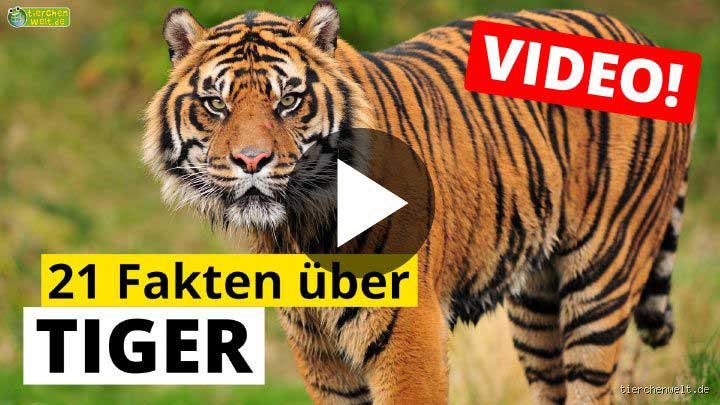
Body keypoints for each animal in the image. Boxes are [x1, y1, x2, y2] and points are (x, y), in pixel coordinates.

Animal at [143, 1, 693, 404]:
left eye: (289, 101)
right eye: (217, 104)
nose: (251, 160)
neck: (297, 230)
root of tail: (640, 34)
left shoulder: (409, 343)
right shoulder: (319, 354)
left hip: (603, 276)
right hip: (537, 303)